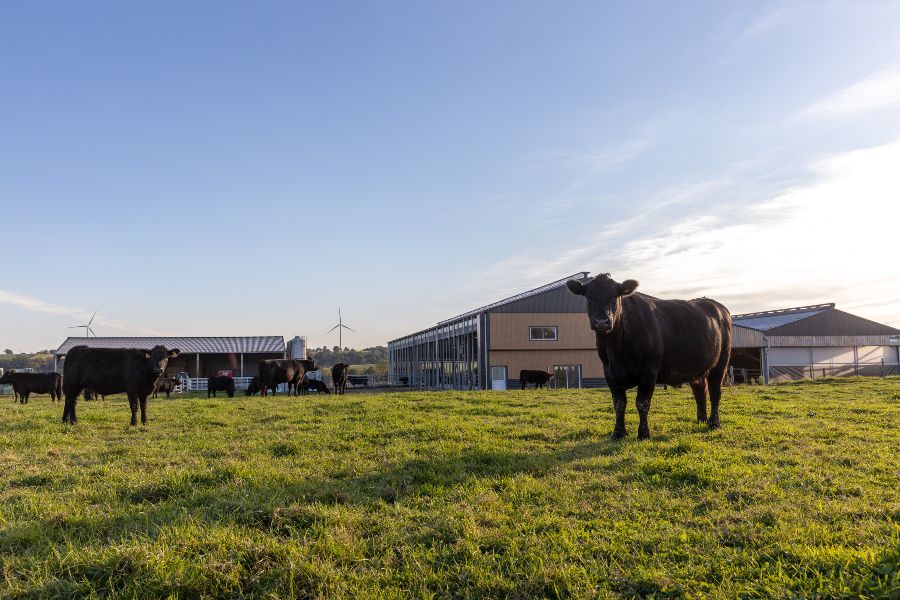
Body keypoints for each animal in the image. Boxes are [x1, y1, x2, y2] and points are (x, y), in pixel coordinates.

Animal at [568, 274, 732, 438]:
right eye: (589, 297)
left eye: (614, 296)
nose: (601, 322)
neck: (616, 349)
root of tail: (718, 306)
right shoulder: (609, 372)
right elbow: (619, 403)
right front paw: (618, 433)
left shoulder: (649, 371)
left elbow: (642, 403)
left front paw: (643, 434)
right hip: (697, 367)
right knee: (700, 391)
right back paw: (701, 421)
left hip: (721, 361)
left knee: (715, 392)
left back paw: (714, 423)